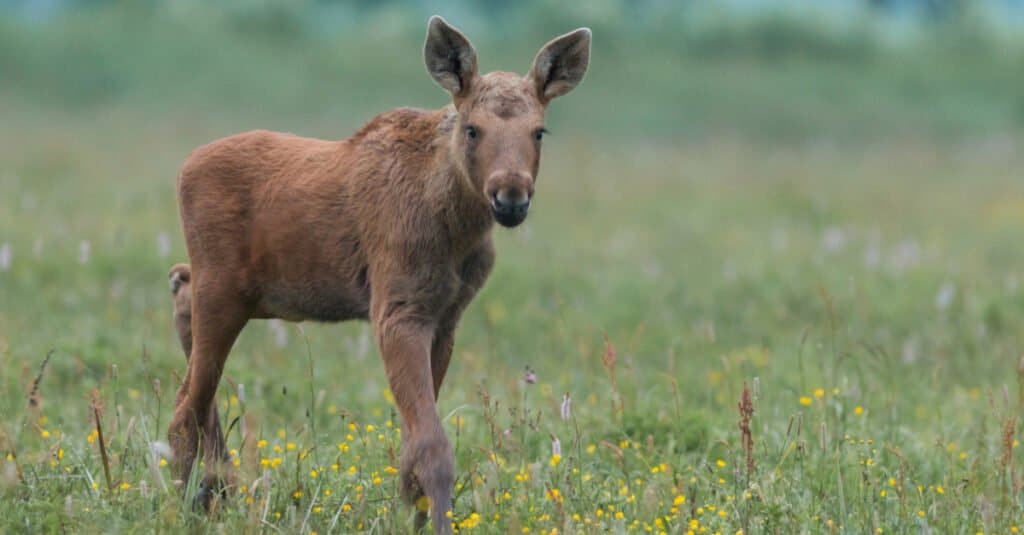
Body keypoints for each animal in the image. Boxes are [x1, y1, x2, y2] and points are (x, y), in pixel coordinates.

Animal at [168, 15, 593, 528]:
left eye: (539, 132)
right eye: (473, 129)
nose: (510, 196)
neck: (457, 225)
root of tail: (183, 169)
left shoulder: (446, 317)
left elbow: (411, 447)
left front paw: (412, 513)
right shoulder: (398, 309)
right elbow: (432, 445)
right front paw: (436, 523)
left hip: (242, 293)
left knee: (181, 304)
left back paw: (215, 490)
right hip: (223, 290)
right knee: (185, 405)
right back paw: (189, 501)